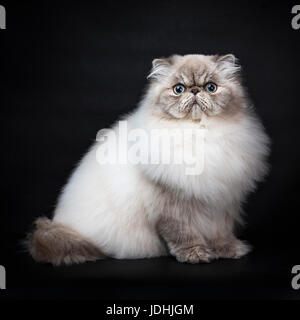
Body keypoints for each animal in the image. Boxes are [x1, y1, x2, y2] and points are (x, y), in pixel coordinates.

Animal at [27, 54, 270, 264]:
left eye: (211, 87)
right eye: (178, 89)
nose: (194, 90)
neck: (198, 132)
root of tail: (63, 224)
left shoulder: (222, 201)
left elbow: (221, 233)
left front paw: (229, 250)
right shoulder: (170, 204)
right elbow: (183, 234)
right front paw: (196, 255)